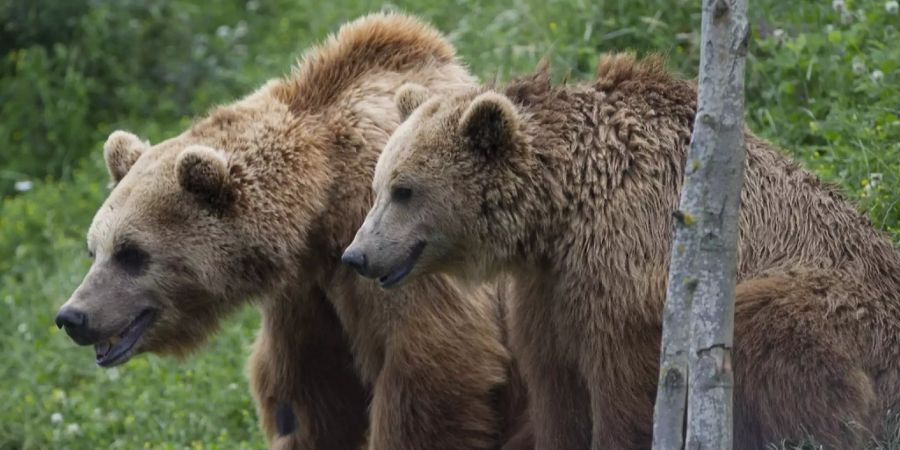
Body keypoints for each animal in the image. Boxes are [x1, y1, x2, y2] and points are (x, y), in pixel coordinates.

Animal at [56, 13, 532, 450]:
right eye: (93, 250)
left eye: (131, 253)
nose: (72, 316)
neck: (318, 207)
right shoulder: (307, 295)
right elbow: (309, 395)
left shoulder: (396, 243)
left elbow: (434, 364)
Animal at [344, 53, 900, 450]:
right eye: (377, 187)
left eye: (405, 190)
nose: (357, 256)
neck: (564, 203)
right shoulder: (549, 286)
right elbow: (556, 385)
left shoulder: (627, 273)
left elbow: (623, 389)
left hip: (831, 306)